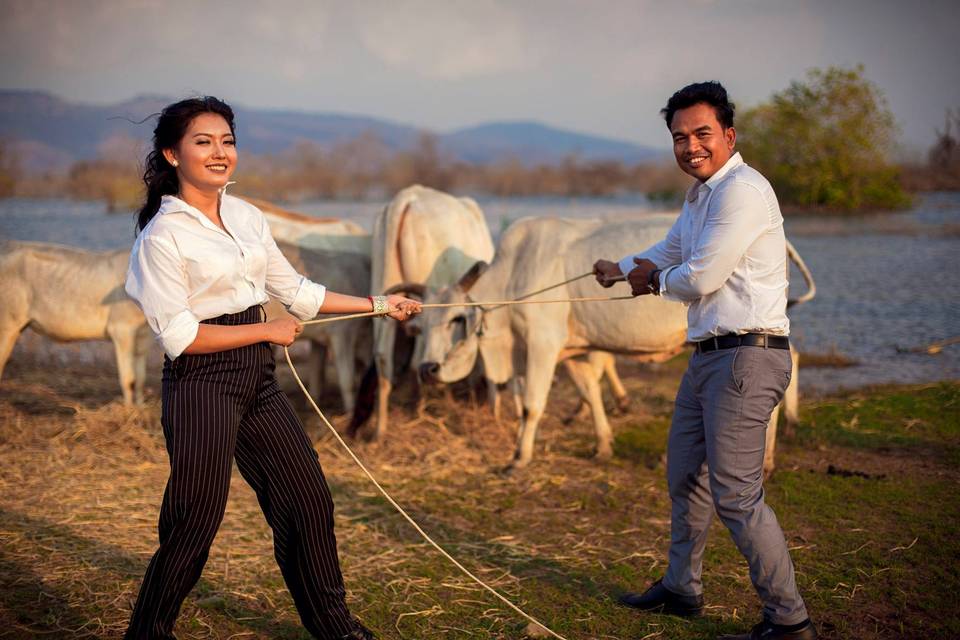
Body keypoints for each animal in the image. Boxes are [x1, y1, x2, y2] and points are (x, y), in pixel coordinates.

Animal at [0, 240, 152, 404]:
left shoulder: (142, 332)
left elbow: (141, 378)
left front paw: (140, 406)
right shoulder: (121, 328)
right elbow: (129, 379)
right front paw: (128, 409)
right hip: (8, 324)